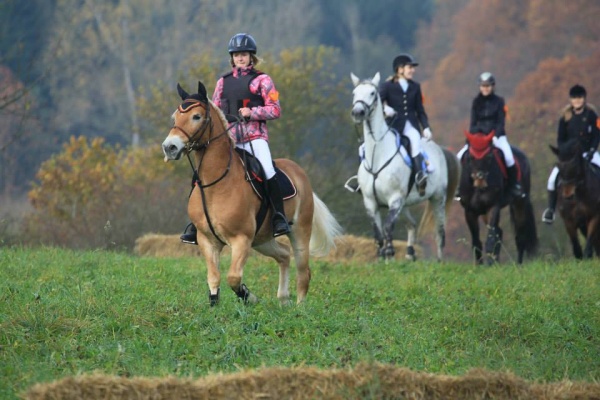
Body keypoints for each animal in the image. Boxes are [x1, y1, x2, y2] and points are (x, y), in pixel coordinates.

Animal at [162, 82, 342, 306]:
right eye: (175, 117)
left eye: (196, 116)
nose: (169, 147)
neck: (216, 183)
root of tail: (299, 172)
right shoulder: (207, 241)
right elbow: (214, 278)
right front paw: (214, 309)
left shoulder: (241, 240)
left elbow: (233, 278)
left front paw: (251, 298)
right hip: (262, 240)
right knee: (284, 255)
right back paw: (283, 300)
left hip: (299, 231)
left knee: (303, 272)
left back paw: (300, 307)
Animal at [346, 73, 460, 260]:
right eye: (354, 93)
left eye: (372, 93)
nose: (357, 112)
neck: (378, 154)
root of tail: (439, 149)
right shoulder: (370, 202)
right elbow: (378, 233)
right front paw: (381, 256)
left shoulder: (395, 199)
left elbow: (387, 227)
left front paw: (389, 254)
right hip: (405, 204)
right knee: (412, 225)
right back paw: (410, 254)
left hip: (437, 198)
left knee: (439, 232)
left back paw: (439, 260)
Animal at [460, 130, 540, 266]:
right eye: (471, 157)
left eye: (489, 157)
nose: (480, 179)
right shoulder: (469, 211)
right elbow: (476, 241)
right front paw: (479, 265)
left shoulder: (493, 206)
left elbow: (491, 237)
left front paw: (489, 265)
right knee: (500, 232)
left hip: (519, 203)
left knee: (520, 236)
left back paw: (518, 264)